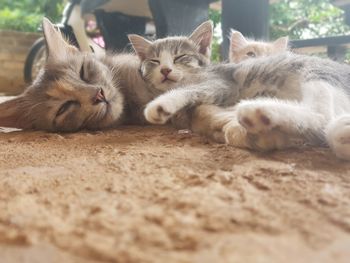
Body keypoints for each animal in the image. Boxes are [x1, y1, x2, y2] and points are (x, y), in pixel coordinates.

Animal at [144, 52, 350, 161]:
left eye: (179, 57)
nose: (165, 71)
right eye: (154, 61)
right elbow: (203, 115)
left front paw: (161, 104)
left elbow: (191, 91)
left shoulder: (220, 83)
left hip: (317, 70)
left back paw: (259, 111)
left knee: (322, 116)